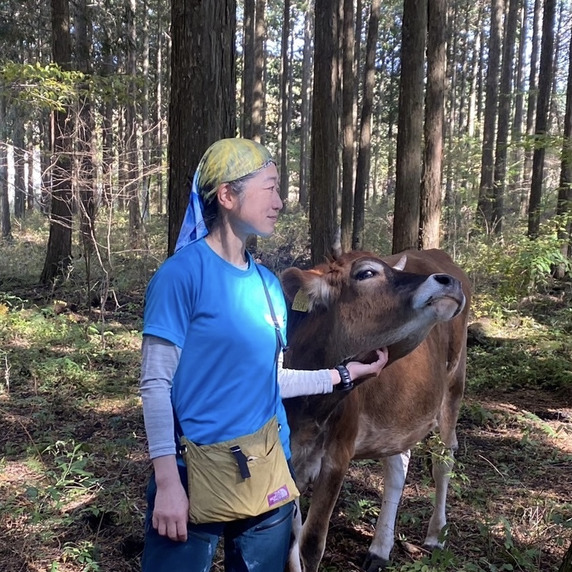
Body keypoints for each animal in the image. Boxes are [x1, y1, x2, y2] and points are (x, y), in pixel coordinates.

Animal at [280, 249, 472, 572]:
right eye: (367, 273)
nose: (450, 282)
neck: (307, 410)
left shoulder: (338, 452)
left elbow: (311, 542)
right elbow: (290, 538)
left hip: (453, 387)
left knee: (443, 462)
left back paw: (436, 536)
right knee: (398, 467)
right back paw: (380, 548)